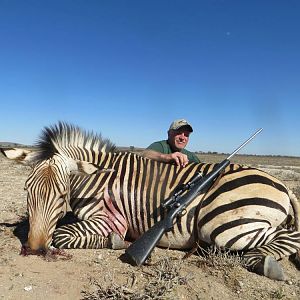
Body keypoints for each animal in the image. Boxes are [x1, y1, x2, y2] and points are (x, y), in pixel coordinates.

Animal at [0, 120, 300, 280]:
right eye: (27, 189)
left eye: (62, 194)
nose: (34, 249)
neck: (97, 179)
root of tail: (284, 186)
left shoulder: (110, 219)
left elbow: (63, 235)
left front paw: (115, 242)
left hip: (223, 225)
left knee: (286, 239)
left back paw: (265, 264)